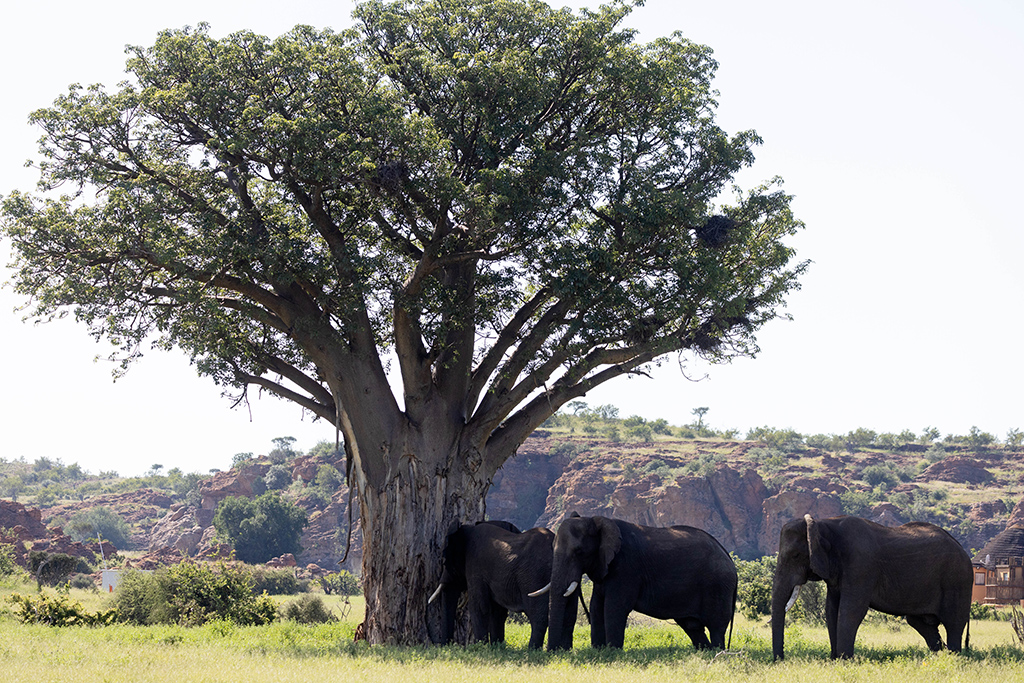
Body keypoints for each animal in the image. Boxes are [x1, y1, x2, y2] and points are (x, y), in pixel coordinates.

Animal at [428, 519, 566, 649]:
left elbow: (479, 607)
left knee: (537, 615)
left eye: (445, 560)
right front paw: (496, 646)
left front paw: (480, 647)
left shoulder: (476, 567)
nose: (446, 646)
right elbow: (497, 611)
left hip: (534, 576)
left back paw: (532, 649)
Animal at [534, 514, 737, 651]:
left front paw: (612, 653)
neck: (595, 519)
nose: (552, 652)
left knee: (716, 627)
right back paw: (704, 653)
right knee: (693, 627)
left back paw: (717, 653)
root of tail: (727, 556)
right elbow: (596, 607)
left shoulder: (626, 568)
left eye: (578, 551)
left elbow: (613, 608)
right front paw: (598, 651)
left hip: (718, 585)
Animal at [772, 514, 972, 660]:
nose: (780, 660)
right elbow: (831, 610)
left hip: (957, 581)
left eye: (796, 555)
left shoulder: (860, 566)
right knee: (919, 622)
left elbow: (851, 610)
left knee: (953, 623)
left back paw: (953, 658)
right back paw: (940, 655)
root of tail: (963, 549)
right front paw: (834, 660)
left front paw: (845, 661)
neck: (824, 523)